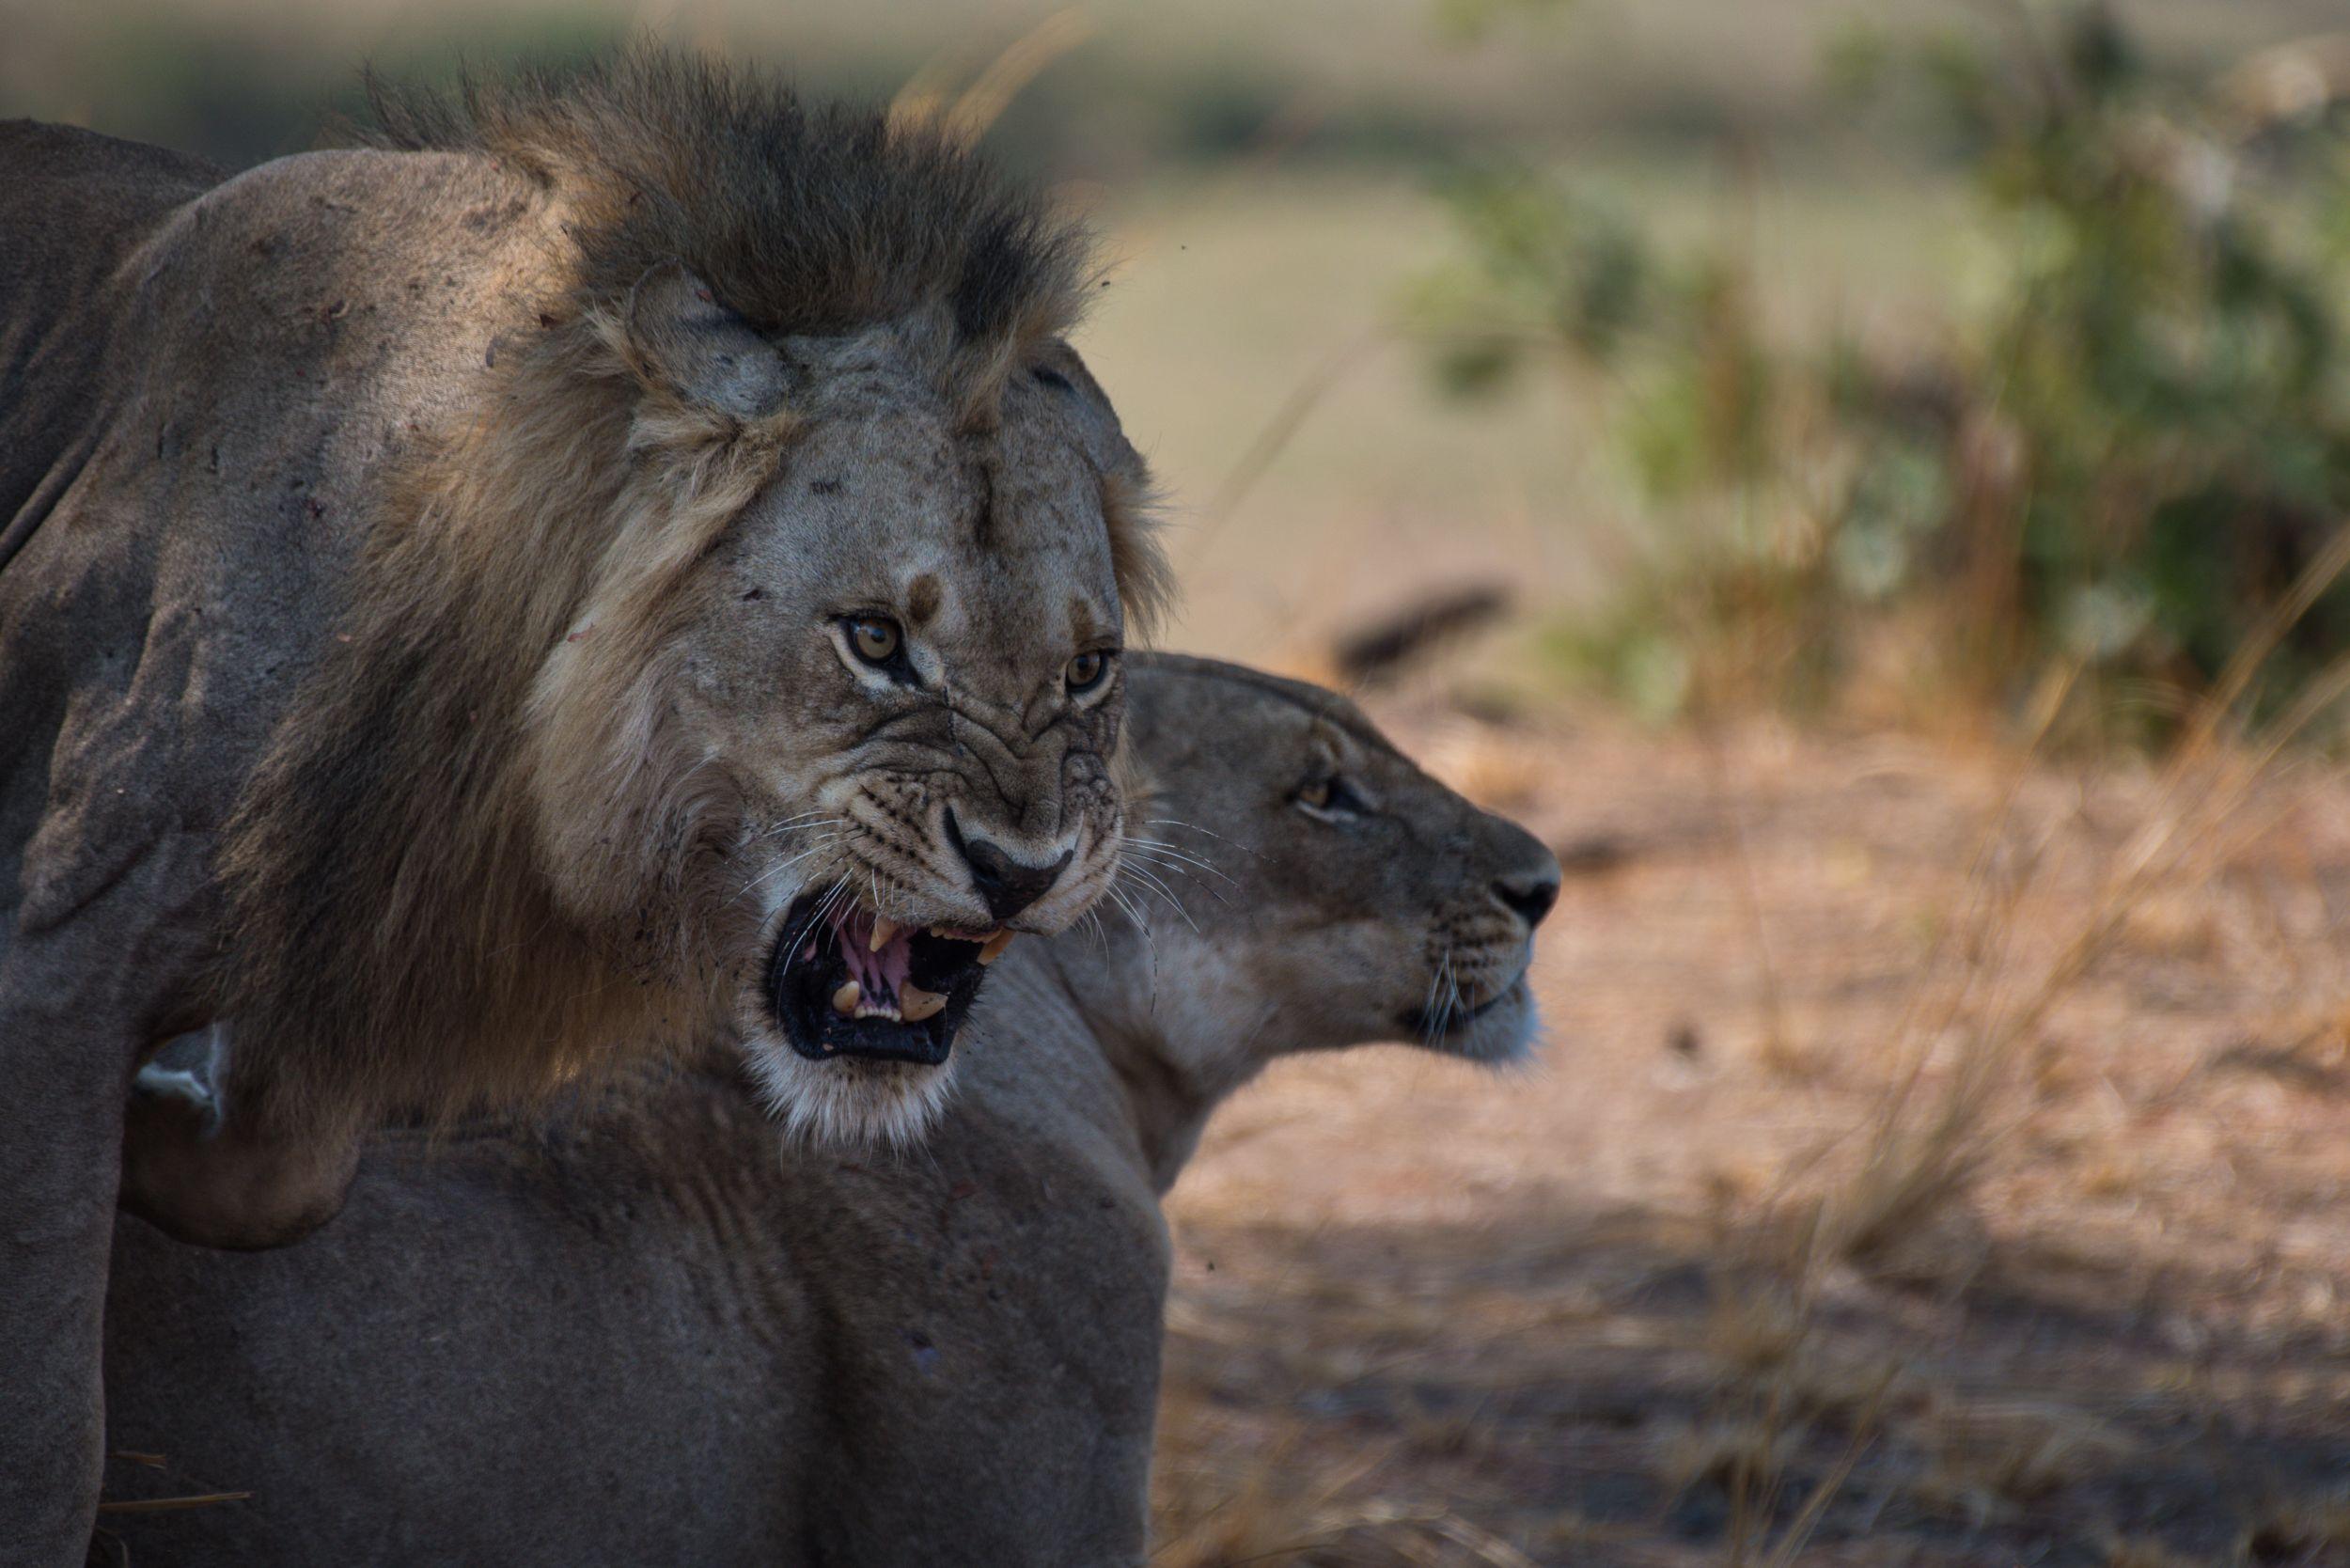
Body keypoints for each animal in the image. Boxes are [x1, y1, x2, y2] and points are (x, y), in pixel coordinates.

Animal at [0, 54, 1165, 1562]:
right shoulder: (50, 966)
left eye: (1088, 669)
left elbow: (285, 1172)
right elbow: (46, 1435)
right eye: (873, 639)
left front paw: (157, 1140)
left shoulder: (345, 953)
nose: (1026, 869)